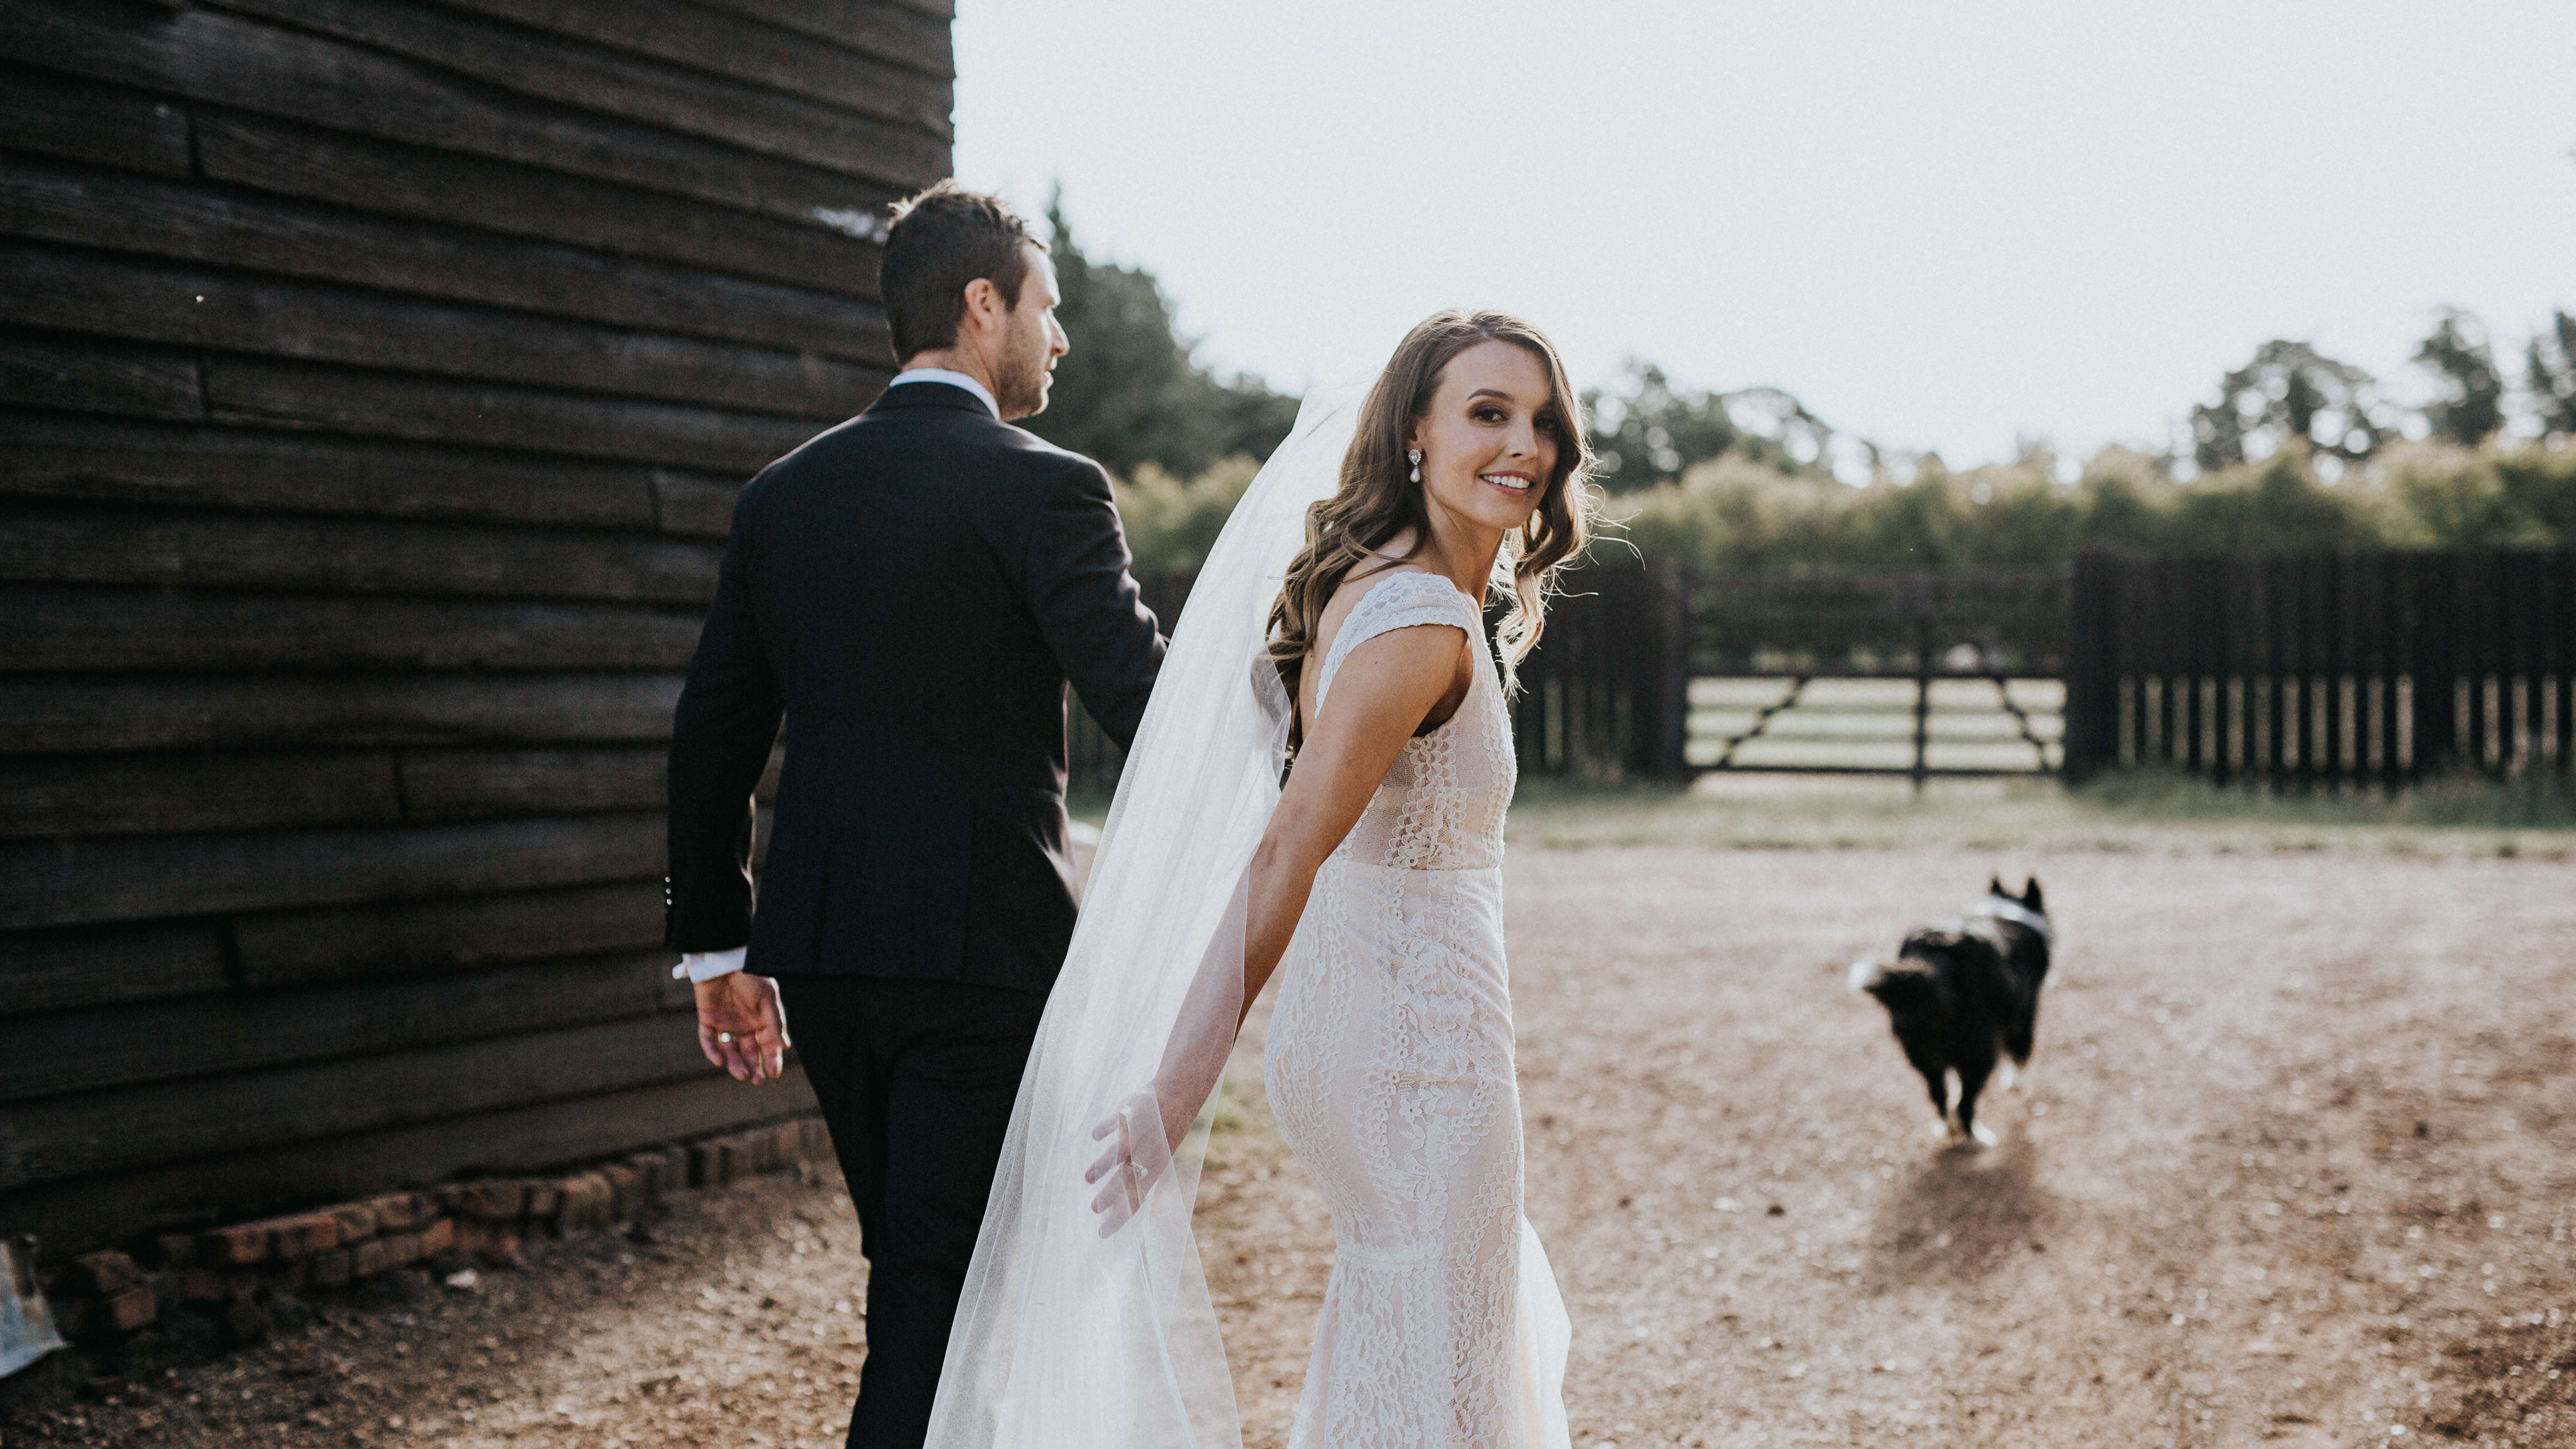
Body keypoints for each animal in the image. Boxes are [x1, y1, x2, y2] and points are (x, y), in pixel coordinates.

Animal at [1855, 876, 2050, 1145]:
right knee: (1966, 1105)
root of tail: (1937, 953)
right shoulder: (2026, 1014)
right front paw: (2016, 1086)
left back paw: (1947, 1130)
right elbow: (2020, 1058)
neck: (2006, 910)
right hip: (1981, 1051)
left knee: (1940, 1097)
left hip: (1925, 1055)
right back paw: (1977, 1137)